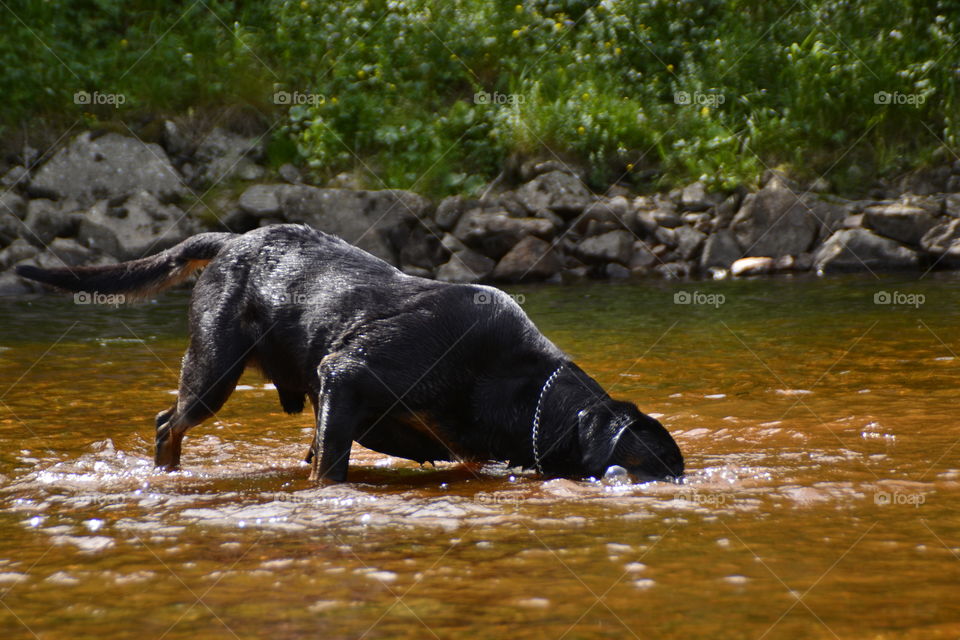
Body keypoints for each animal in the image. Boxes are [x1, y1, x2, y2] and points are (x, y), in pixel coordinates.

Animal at [15, 225, 684, 480]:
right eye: (654, 466)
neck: (521, 388)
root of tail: (231, 240)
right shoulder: (347, 374)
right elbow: (330, 466)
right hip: (214, 370)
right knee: (168, 421)